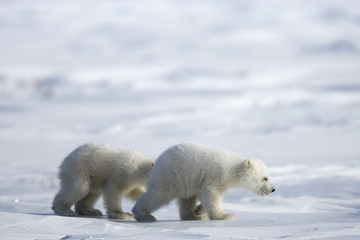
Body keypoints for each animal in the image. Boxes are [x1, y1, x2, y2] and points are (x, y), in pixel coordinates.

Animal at [132, 142, 276, 222]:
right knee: (157, 195)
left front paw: (199, 210)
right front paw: (227, 216)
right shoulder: (216, 175)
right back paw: (144, 215)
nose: (273, 189)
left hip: (185, 182)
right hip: (169, 177)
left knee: (187, 199)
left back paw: (194, 216)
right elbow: (212, 195)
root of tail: (157, 162)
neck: (231, 168)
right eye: (265, 178)